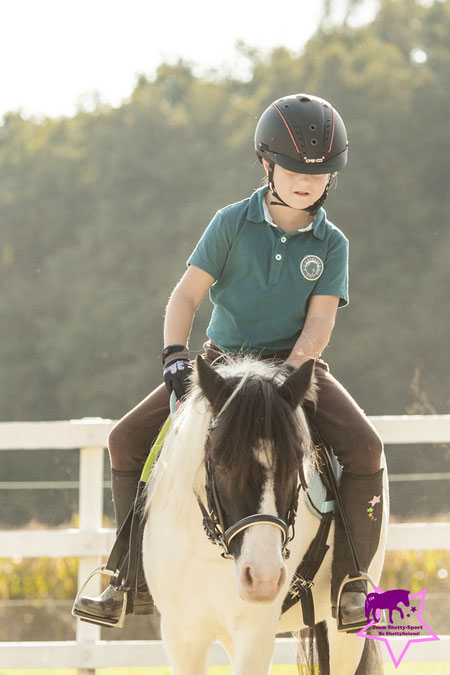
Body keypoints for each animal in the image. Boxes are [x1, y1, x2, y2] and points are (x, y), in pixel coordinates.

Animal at [142, 356, 388, 672]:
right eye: (221, 464)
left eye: (296, 466)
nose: (263, 578)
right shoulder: (181, 636)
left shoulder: (254, 633)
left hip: (344, 635)